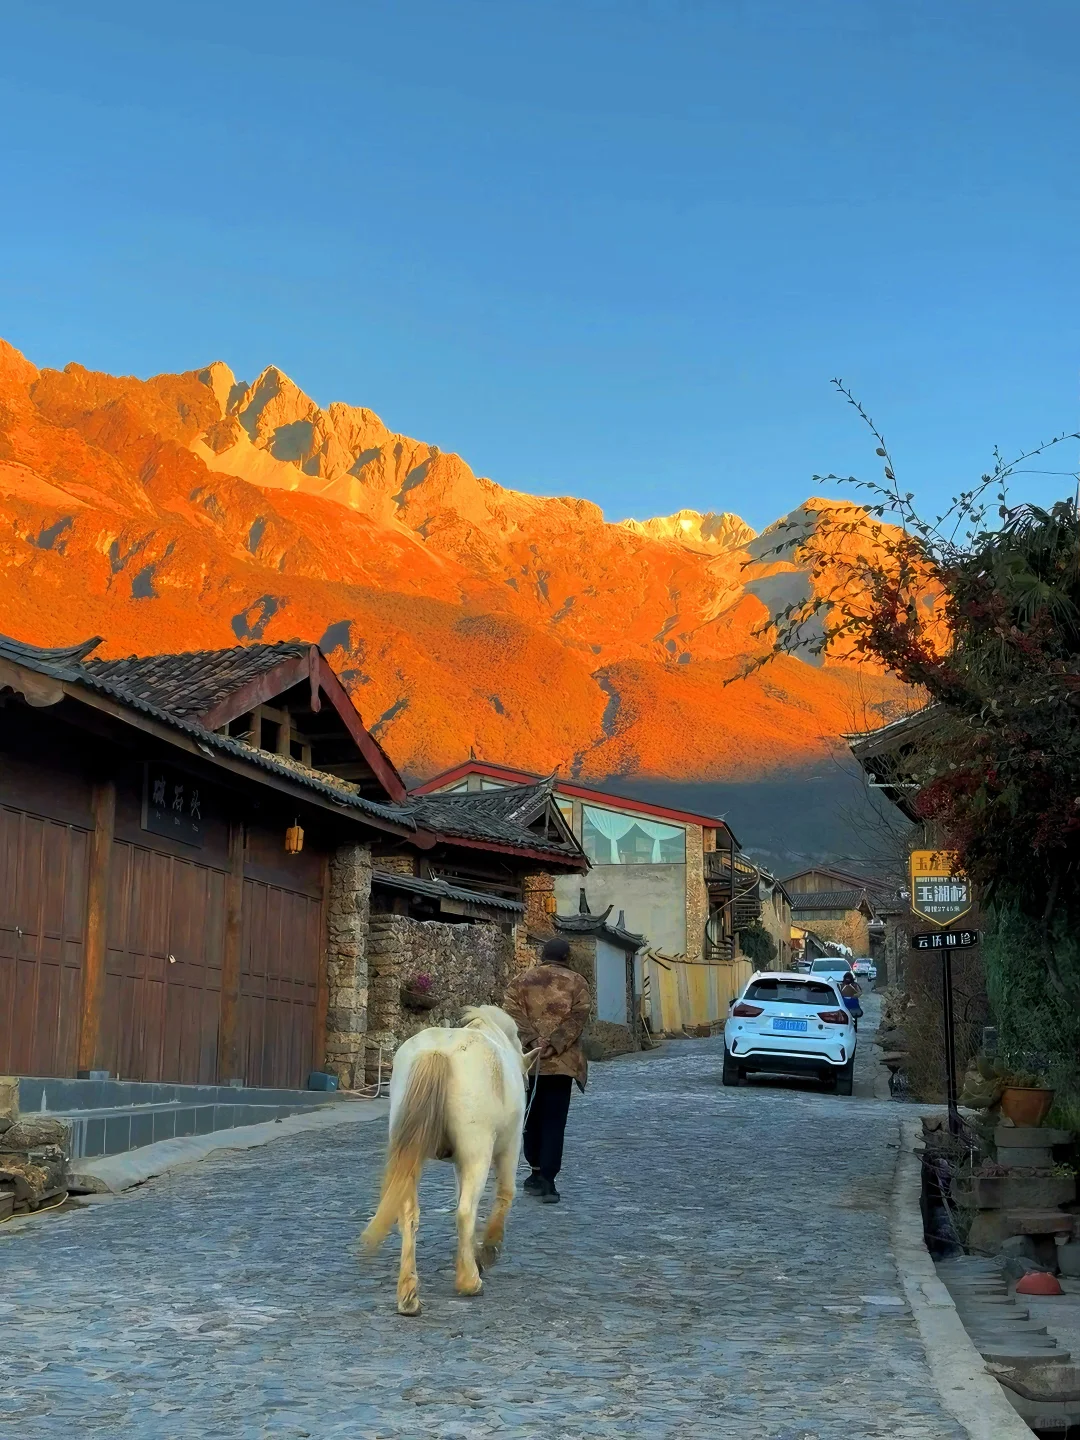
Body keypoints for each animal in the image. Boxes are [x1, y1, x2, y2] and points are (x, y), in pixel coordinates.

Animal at [361, 1008, 538, 1313]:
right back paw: (469, 1283)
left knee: (409, 1214)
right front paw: (487, 1252)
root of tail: (438, 1051)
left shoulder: (458, 1162)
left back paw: (409, 1296)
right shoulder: (511, 1145)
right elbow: (505, 1193)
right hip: (478, 1152)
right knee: (466, 1210)